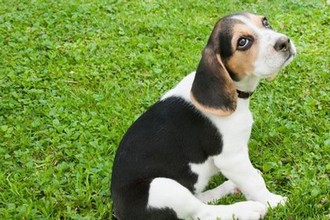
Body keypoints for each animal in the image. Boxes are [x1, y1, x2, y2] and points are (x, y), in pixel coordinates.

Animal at [111, 12, 296, 219]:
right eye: (243, 42)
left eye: (265, 22)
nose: (284, 42)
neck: (236, 93)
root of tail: (118, 210)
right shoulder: (232, 159)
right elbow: (254, 183)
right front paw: (274, 201)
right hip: (161, 187)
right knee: (202, 212)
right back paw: (247, 209)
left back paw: (229, 187)